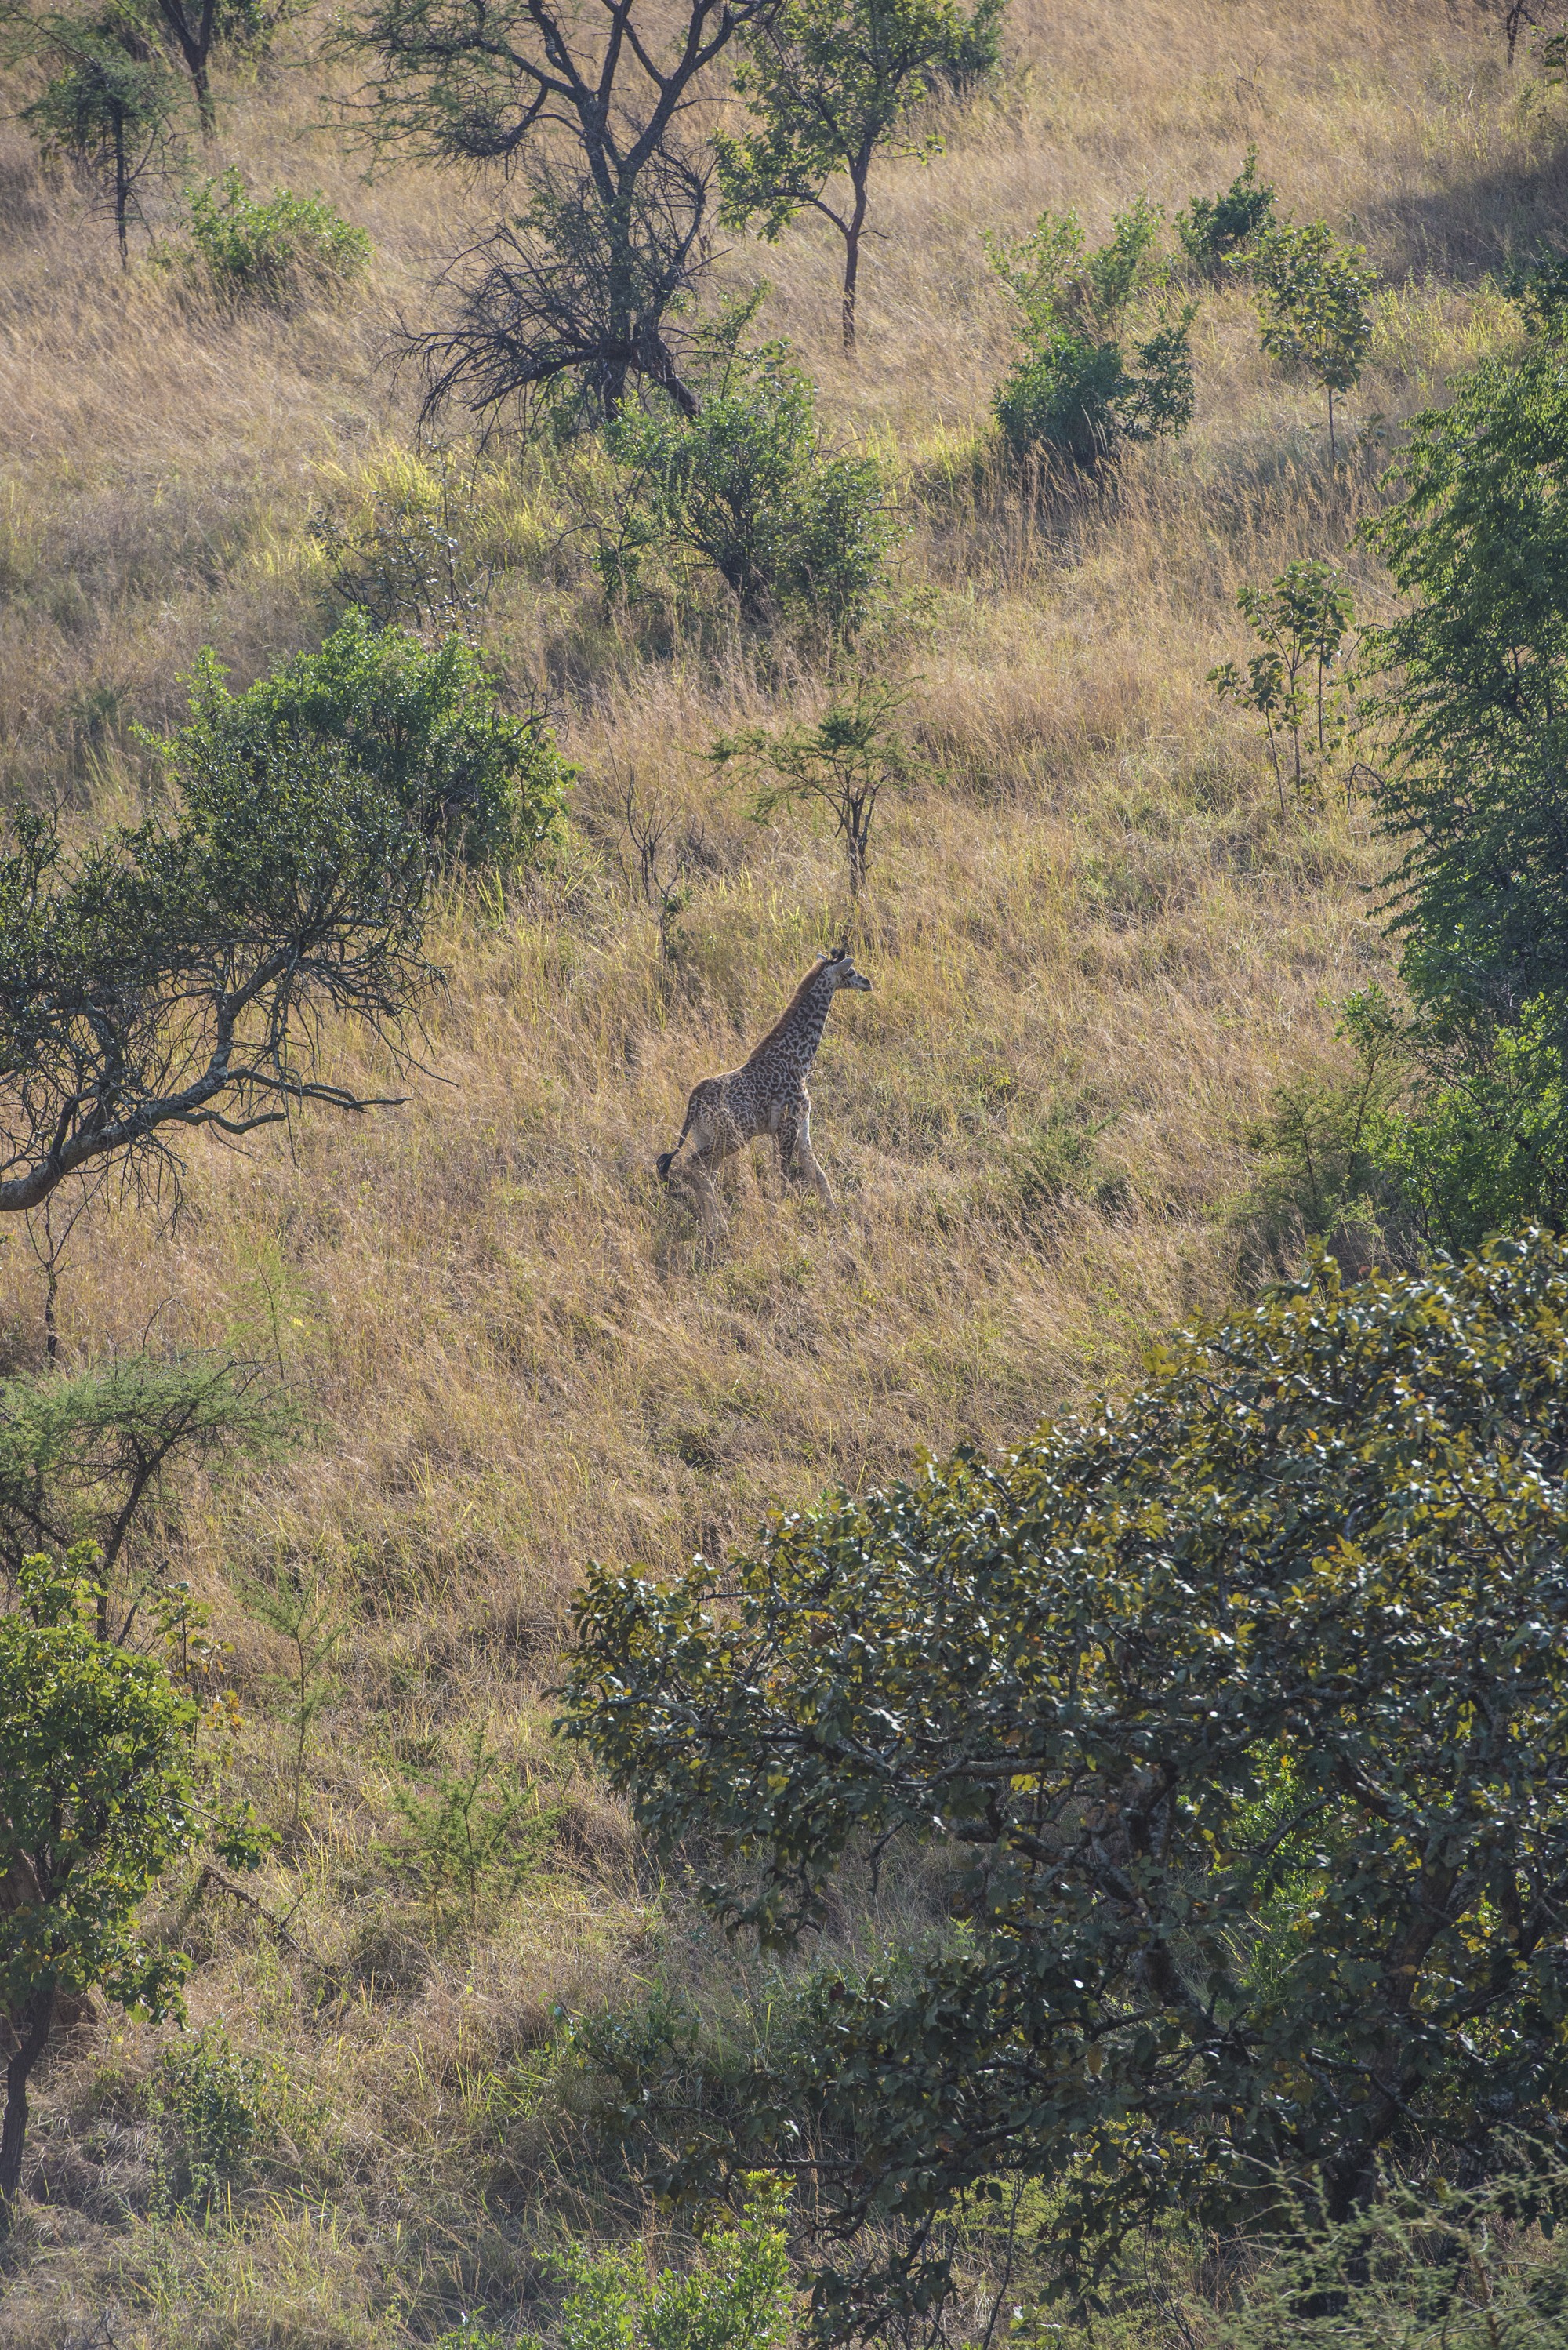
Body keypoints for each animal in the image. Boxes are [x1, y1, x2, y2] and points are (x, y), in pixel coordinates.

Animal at [648, 939, 869, 1231]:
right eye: (851, 971)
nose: (868, 982)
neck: (798, 1058)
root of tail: (693, 1103)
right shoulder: (786, 1127)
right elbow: (782, 1180)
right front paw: (781, 1223)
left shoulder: (802, 1126)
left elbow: (818, 1175)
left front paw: (836, 1217)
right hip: (736, 1135)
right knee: (694, 1163)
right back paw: (720, 1226)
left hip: (705, 1135)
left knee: (705, 1172)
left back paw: (713, 1227)